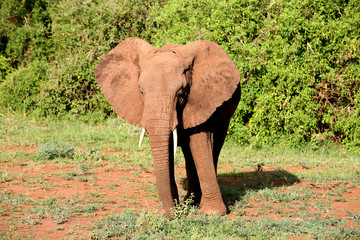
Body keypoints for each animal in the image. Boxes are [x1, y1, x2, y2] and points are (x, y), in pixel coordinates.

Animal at [94, 37, 240, 218]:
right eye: (141, 91)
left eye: (180, 92)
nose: (174, 215)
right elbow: (169, 147)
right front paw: (175, 209)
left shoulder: (202, 99)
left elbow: (199, 144)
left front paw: (212, 213)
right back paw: (190, 202)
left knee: (214, 146)